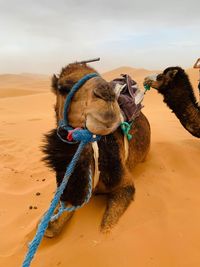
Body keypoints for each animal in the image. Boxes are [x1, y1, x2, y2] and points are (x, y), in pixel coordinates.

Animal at [43, 63, 151, 239]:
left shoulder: (125, 184)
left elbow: (105, 228)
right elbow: (50, 228)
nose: (106, 93)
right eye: (62, 87)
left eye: (99, 76)